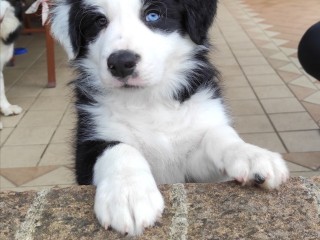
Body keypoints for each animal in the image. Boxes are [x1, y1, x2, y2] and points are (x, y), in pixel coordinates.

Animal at [50, 0, 290, 236]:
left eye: (153, 15)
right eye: (99, 21)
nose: (120, 63)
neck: (148, 101)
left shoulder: (193, 169)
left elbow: (219, 134)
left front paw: (252, 155)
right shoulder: (87, 145)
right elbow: (119, 148)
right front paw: (128, 195)